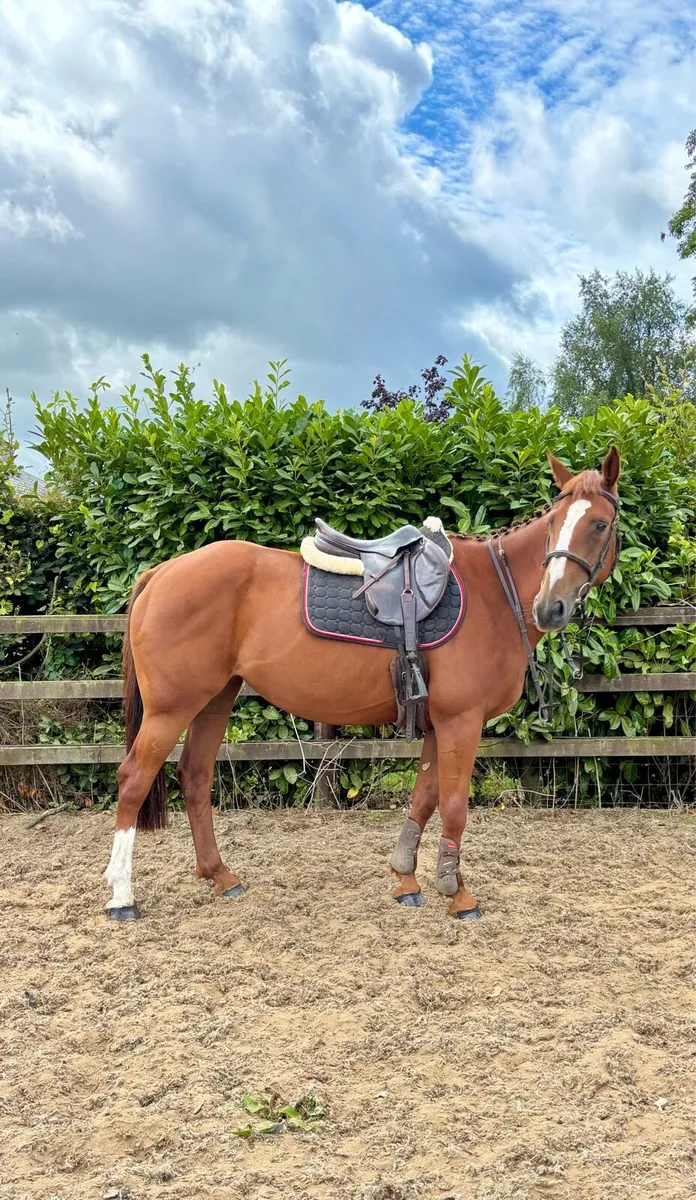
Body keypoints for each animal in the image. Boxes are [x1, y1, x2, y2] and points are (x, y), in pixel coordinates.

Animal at [104, 447, 621, 920]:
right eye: (554, 523)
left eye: (598, 525)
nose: (549, 607)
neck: (495, 593)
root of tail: (161, 572)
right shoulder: (462, 720)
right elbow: (453, 805)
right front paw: (457, 894)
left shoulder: (438, 723)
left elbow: (424, 798)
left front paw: (406, 879)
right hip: (171, 708)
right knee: (133, 780)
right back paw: (122, 897)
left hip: (214, 699)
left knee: (195, 777)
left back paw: (221, 876)